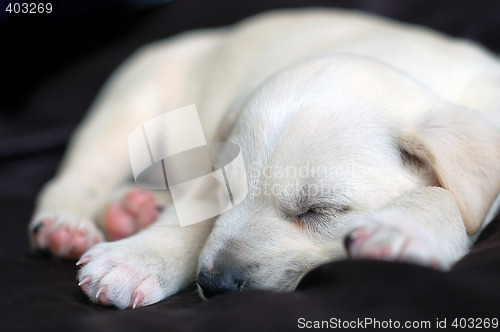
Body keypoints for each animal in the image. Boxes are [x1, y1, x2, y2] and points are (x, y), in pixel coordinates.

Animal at [28, 8, 500, 308]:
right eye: (224, 192)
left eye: (318, 210)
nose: (213, 283)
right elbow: (191, 219)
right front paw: (136, 259)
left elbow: (451, 198)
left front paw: (401, 228)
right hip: (129, 107)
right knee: (78, 175)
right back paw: (70, 226)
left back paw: (133, 209)